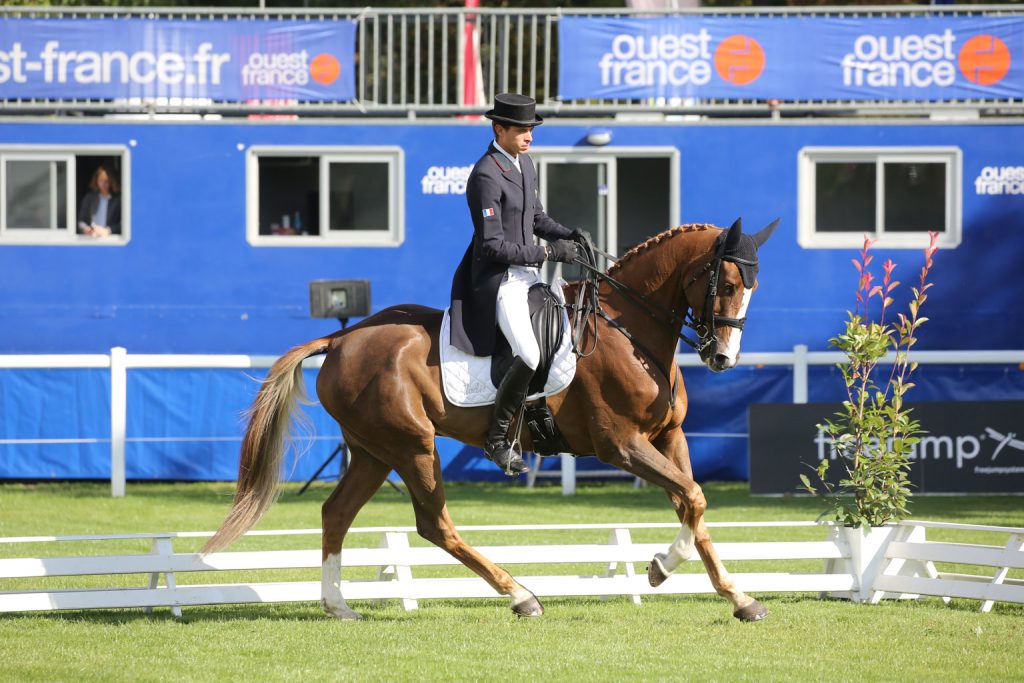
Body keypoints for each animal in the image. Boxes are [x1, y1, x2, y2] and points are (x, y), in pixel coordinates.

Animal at [201, 220, 774, 626]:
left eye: (753, 286)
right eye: (725, 283)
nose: (722, 358)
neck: (628, 331)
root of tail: (342, 338)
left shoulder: (668, 438)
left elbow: (693, 505)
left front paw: (738, 597)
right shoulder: (623, 445)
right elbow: (694, 497)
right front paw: (659, 568)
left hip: (371, 451)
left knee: (336, 513)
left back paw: (339, 606)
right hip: (412, 445)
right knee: (434, 524)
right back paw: (521, 596)